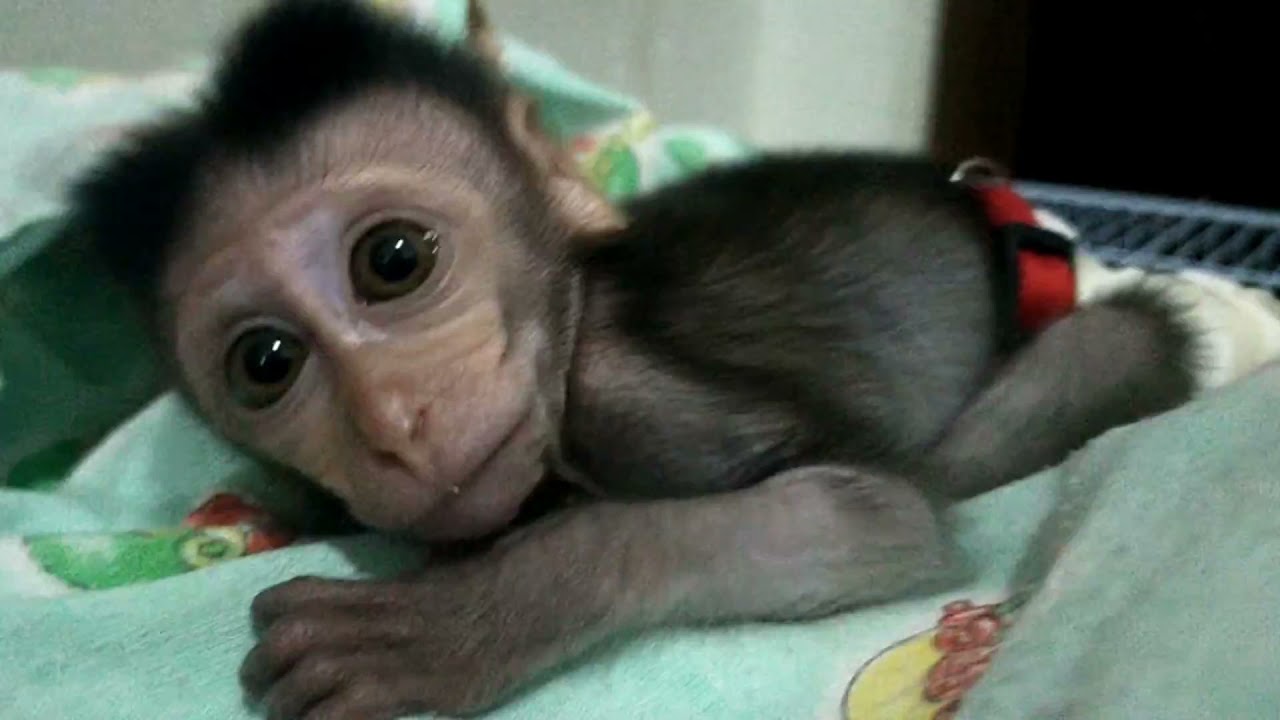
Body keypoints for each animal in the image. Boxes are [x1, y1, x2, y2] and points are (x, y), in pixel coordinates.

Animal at [65, 1, 1207, 718]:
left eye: (392, 261)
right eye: (265, 362)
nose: (394, 422)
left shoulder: (631, 398)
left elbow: (875, 518)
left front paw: (457, 619)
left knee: (1104, 350)